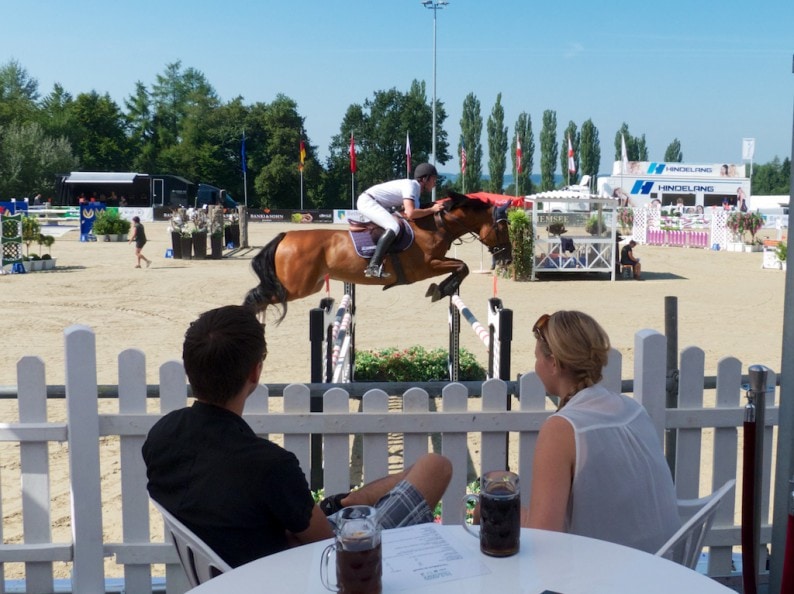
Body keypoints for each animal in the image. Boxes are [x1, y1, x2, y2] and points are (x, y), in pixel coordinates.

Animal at [244, 191, 510, 322]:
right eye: (502, 227)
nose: (507, 257)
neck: (436, 226)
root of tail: (285, 235)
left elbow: (460, 267)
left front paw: (440, 289)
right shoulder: (426, 267)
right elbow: (462, 266)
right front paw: (441, 289)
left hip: (306, 284)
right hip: (297, 287)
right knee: (256, 298)